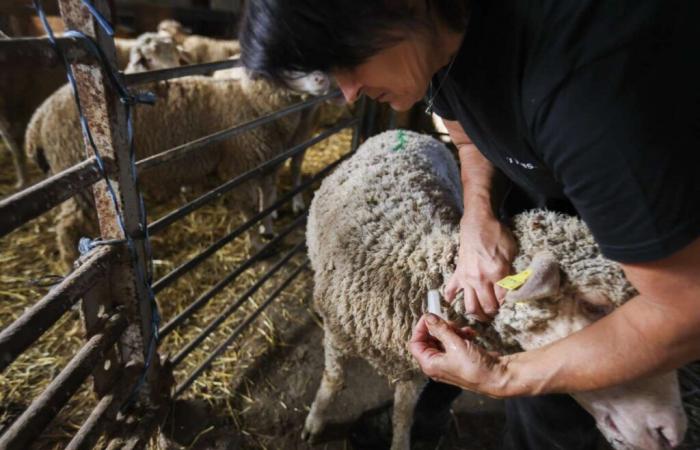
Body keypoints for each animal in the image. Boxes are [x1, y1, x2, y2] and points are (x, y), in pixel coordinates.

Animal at [304, 129, 688, 450]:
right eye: (596, 304)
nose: (670, 431)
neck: (415, 265)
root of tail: (407, 131)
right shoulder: (335, 332)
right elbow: (334, 379)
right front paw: (314, 421)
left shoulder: (417, 367)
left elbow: (403, 415)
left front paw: (398, 441)